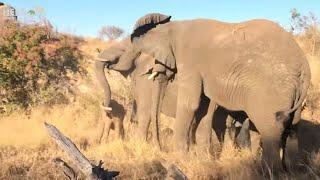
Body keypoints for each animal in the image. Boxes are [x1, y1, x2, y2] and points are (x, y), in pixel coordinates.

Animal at [125, 13, 310, 171]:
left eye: (157, 57)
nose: (161, 150)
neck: (175, 26)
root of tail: (304, 66)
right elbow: (204, 109)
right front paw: (203, 160)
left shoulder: (190, 61)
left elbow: (190, 105)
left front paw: (181, 159)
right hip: (294, 92)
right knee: (293, 128)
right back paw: (291, 170)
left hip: (271, 91)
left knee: (271, 129)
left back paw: (268, 171)